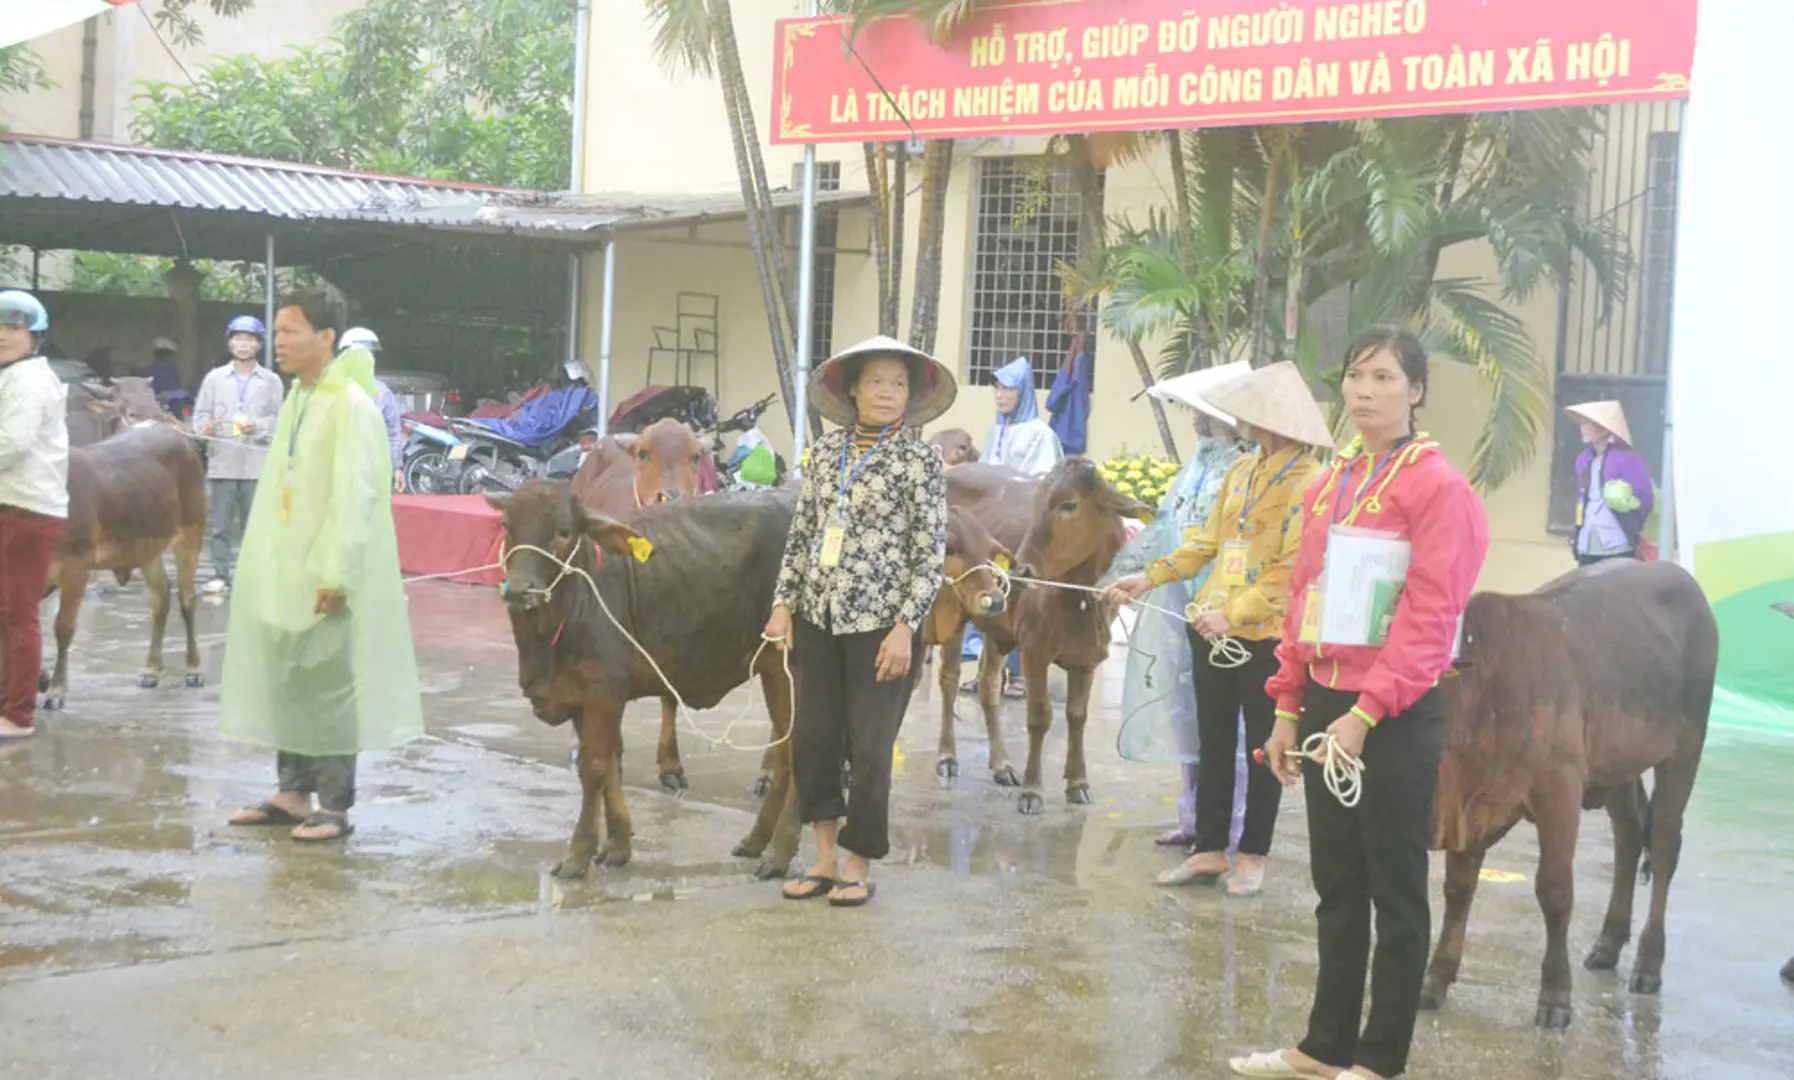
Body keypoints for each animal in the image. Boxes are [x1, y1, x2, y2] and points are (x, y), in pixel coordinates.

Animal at [41, 394, 207, 706]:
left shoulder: (76, 565)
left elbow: (63, 627)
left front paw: (56, 690)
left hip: (191, 533)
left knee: (187, 599)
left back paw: (193, 669)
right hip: (147, 547)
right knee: (161, 596)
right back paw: (151, 669)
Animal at [491, 480, 800, 875]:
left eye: (563, 531)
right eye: (507, 526)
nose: (519, 589)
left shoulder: (603, 690)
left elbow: (593, 769)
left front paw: (578, 855)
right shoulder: (581, 699)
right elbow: (612, 764)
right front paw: (617, 844)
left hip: (790, 672)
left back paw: (779, 853)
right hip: (773, 673)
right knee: (785, 756)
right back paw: (757, 841)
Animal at [1420, 559, 1715, 1019]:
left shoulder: (1559, 791)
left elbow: (1554, 891)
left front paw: (1555, 995)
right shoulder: (1473, 805)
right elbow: (1459, 887)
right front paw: (1436, 979)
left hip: (1685, 747)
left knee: (1665, 845)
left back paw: (1648, 963)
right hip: (1617, 766)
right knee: (1630, 834)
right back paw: (1608, 943)